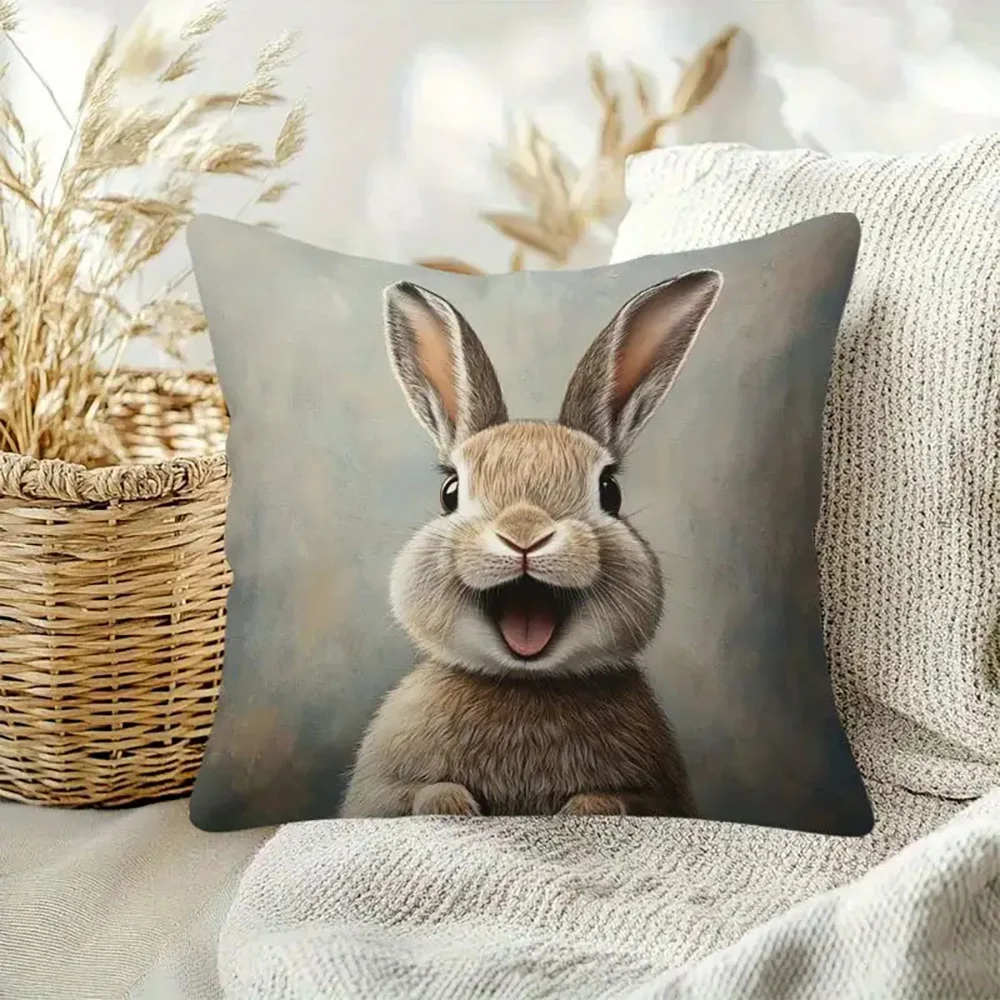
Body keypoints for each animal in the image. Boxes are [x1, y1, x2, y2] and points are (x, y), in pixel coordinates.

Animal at [340, 268, 723, 819]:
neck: (526, 681)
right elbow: (415, 794)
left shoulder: (661, 795)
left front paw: (583, 809)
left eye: (610, 491)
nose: (524, 535)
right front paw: (454, 805)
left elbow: (618, 801)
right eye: (450, 492)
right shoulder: (380, 792)